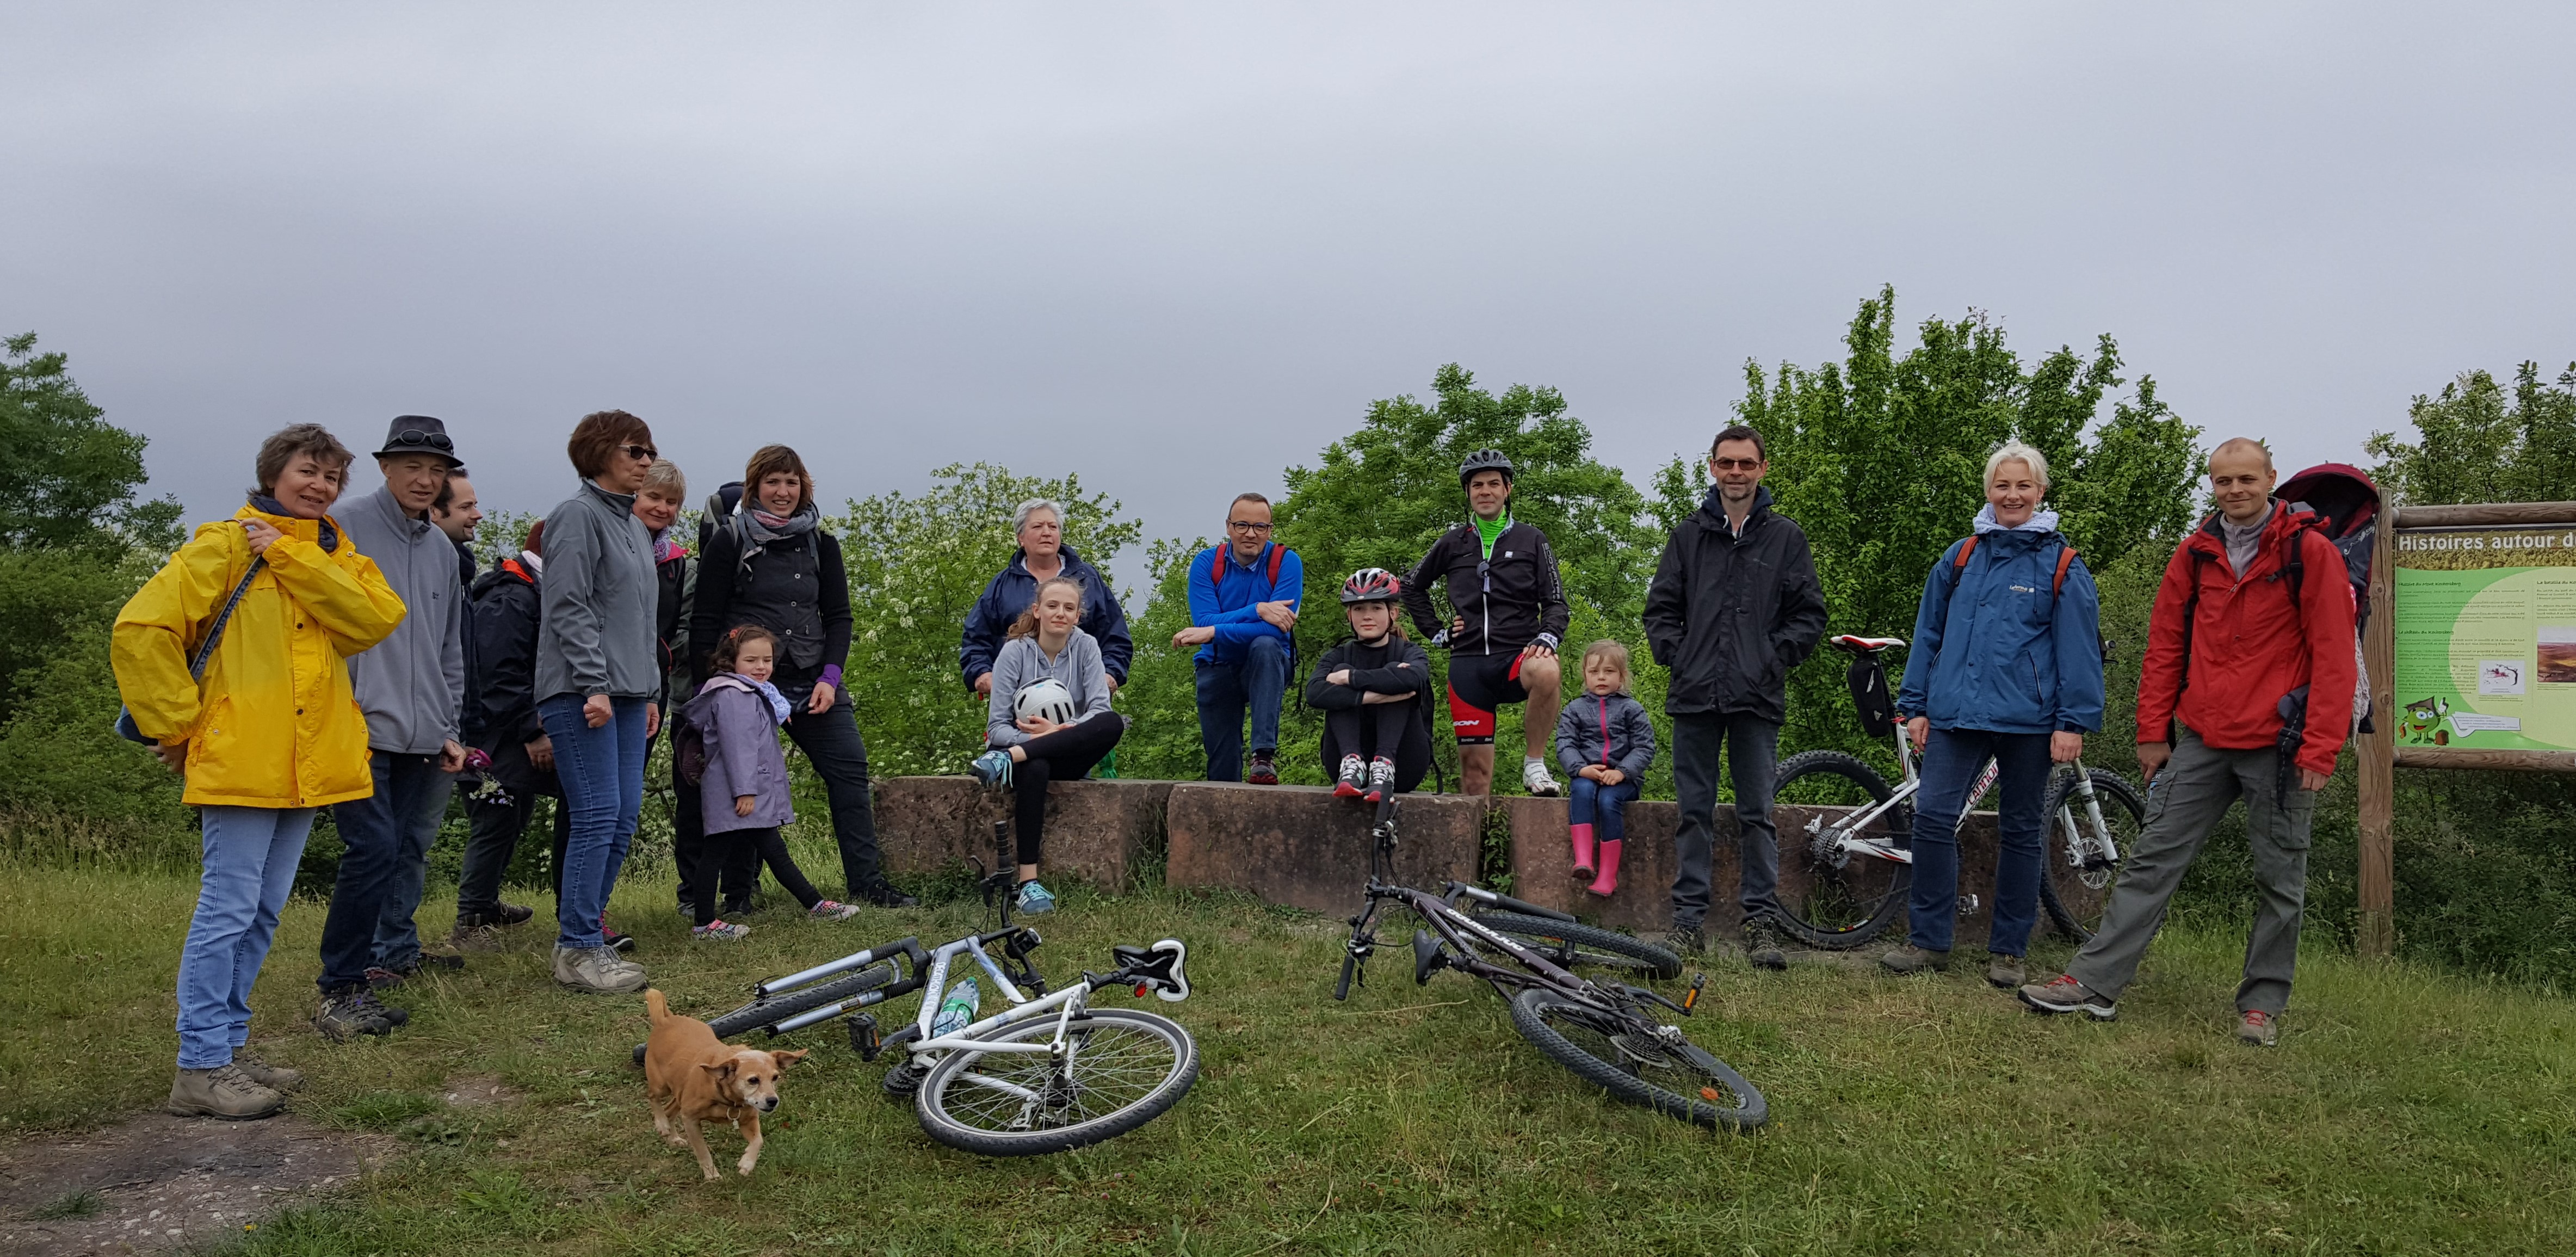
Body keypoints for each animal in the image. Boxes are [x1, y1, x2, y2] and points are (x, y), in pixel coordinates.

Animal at [641, 994, 804, 1179]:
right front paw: (711, 1173)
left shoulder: (748, 1120)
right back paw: (662, 1124)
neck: (726, 1097)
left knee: (669, 1110)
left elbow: (759, 1141)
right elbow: (702, 1151)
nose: (773, 1101)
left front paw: (747, 1163)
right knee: (653, 1097)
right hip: (661, 1086)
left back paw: (673, 1137)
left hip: (680, 1092)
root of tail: (666, 1019)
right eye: (753, 1080)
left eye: (775, 1078)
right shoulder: (690, 1120)